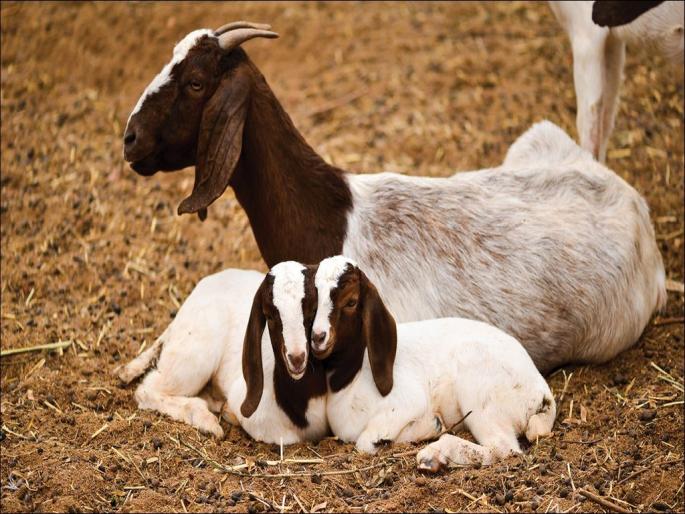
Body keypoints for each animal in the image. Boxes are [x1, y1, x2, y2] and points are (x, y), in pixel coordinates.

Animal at [116, 263, 328, 444]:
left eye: (313, 310)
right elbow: (287, 437)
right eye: (270, 316)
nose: (297, 358)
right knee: (147, 389)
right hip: (195, 356)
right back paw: (208, 421)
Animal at [306, 255, 556, 470]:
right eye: (313, 302)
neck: (352, 379)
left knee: (503, 449)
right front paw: (431, 426)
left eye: (351, 302)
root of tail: (542, 392)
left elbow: (366, 443)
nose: (318, 338)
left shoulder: (407, 401)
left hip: (481, 392)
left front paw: (427, 427)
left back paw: (434, 455)